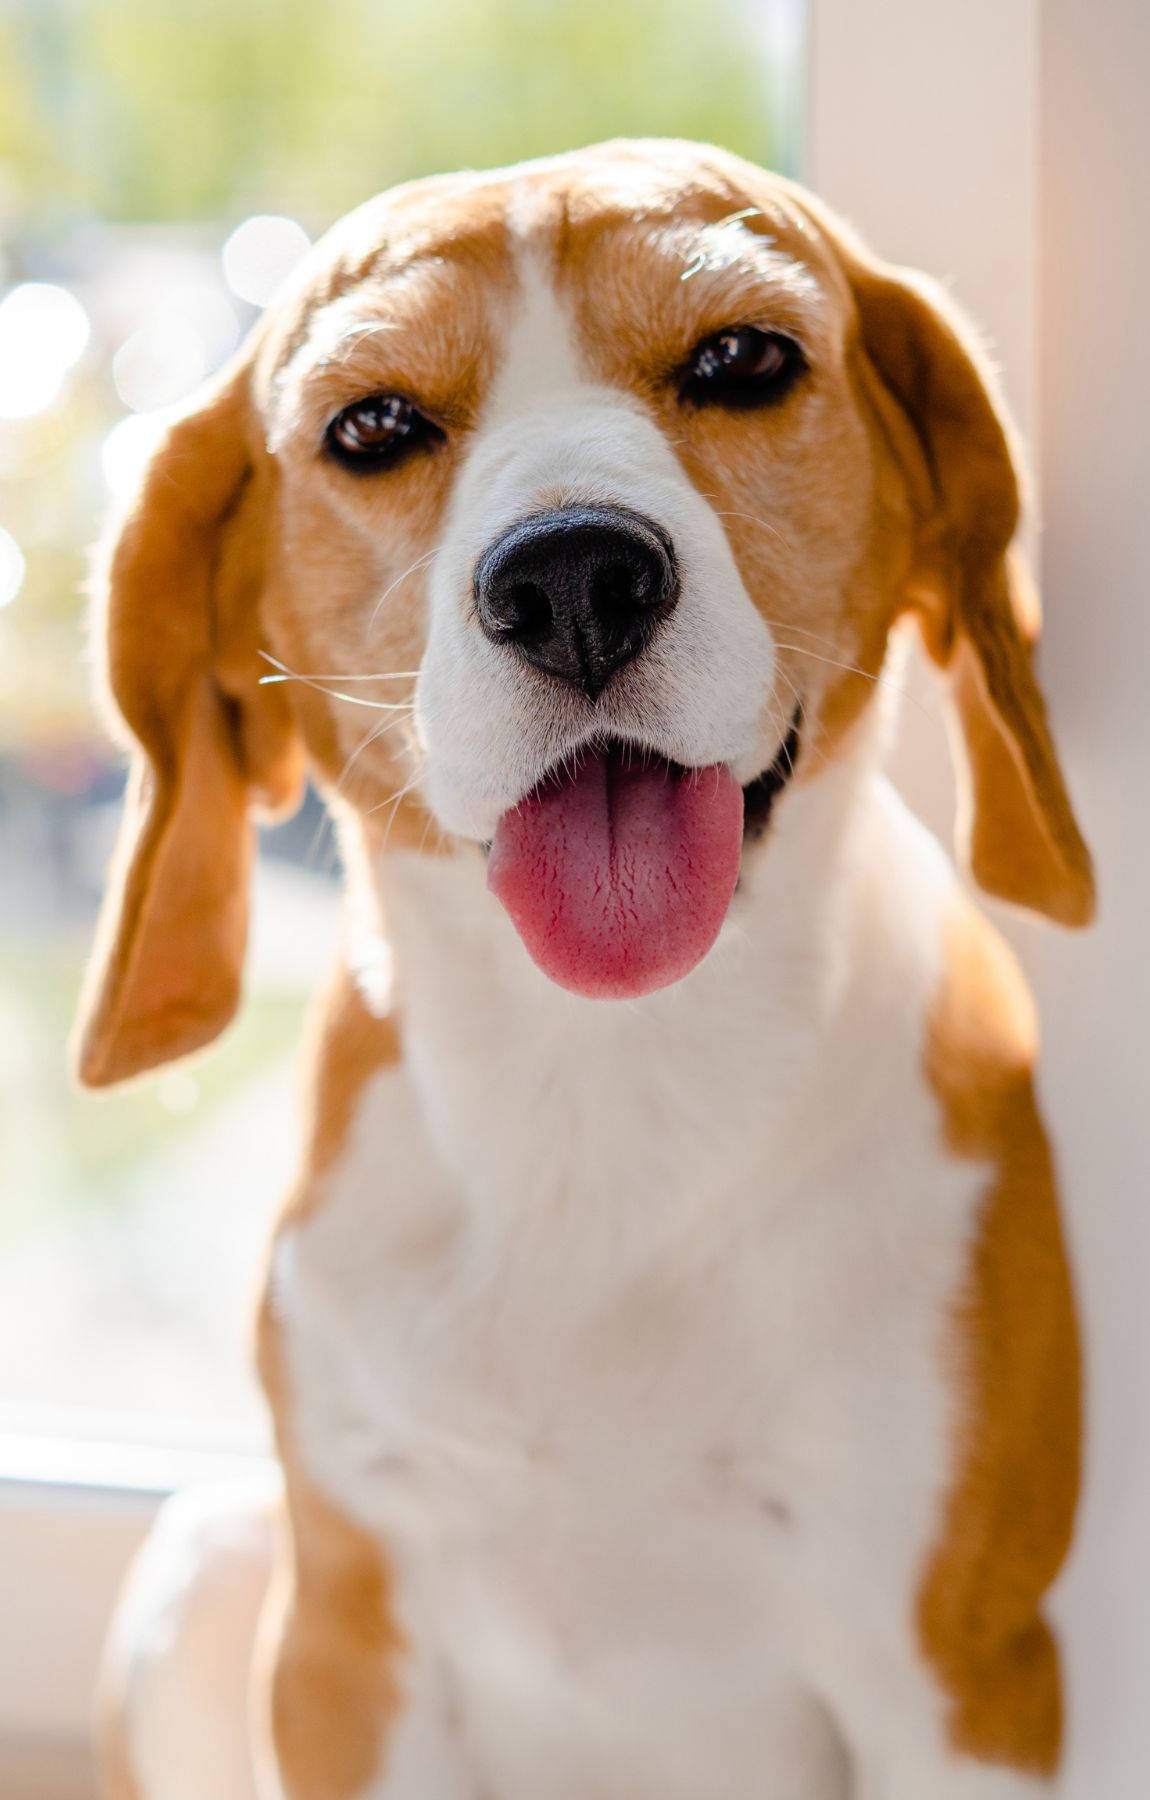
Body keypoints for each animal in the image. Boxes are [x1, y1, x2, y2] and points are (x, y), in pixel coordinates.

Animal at [76, 144, 1094, 1800]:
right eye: (373, 427)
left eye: (741, 360)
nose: (570, 580)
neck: (603, 1089)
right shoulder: (350, 1658)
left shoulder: (957, 1675)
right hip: (208, 1562)